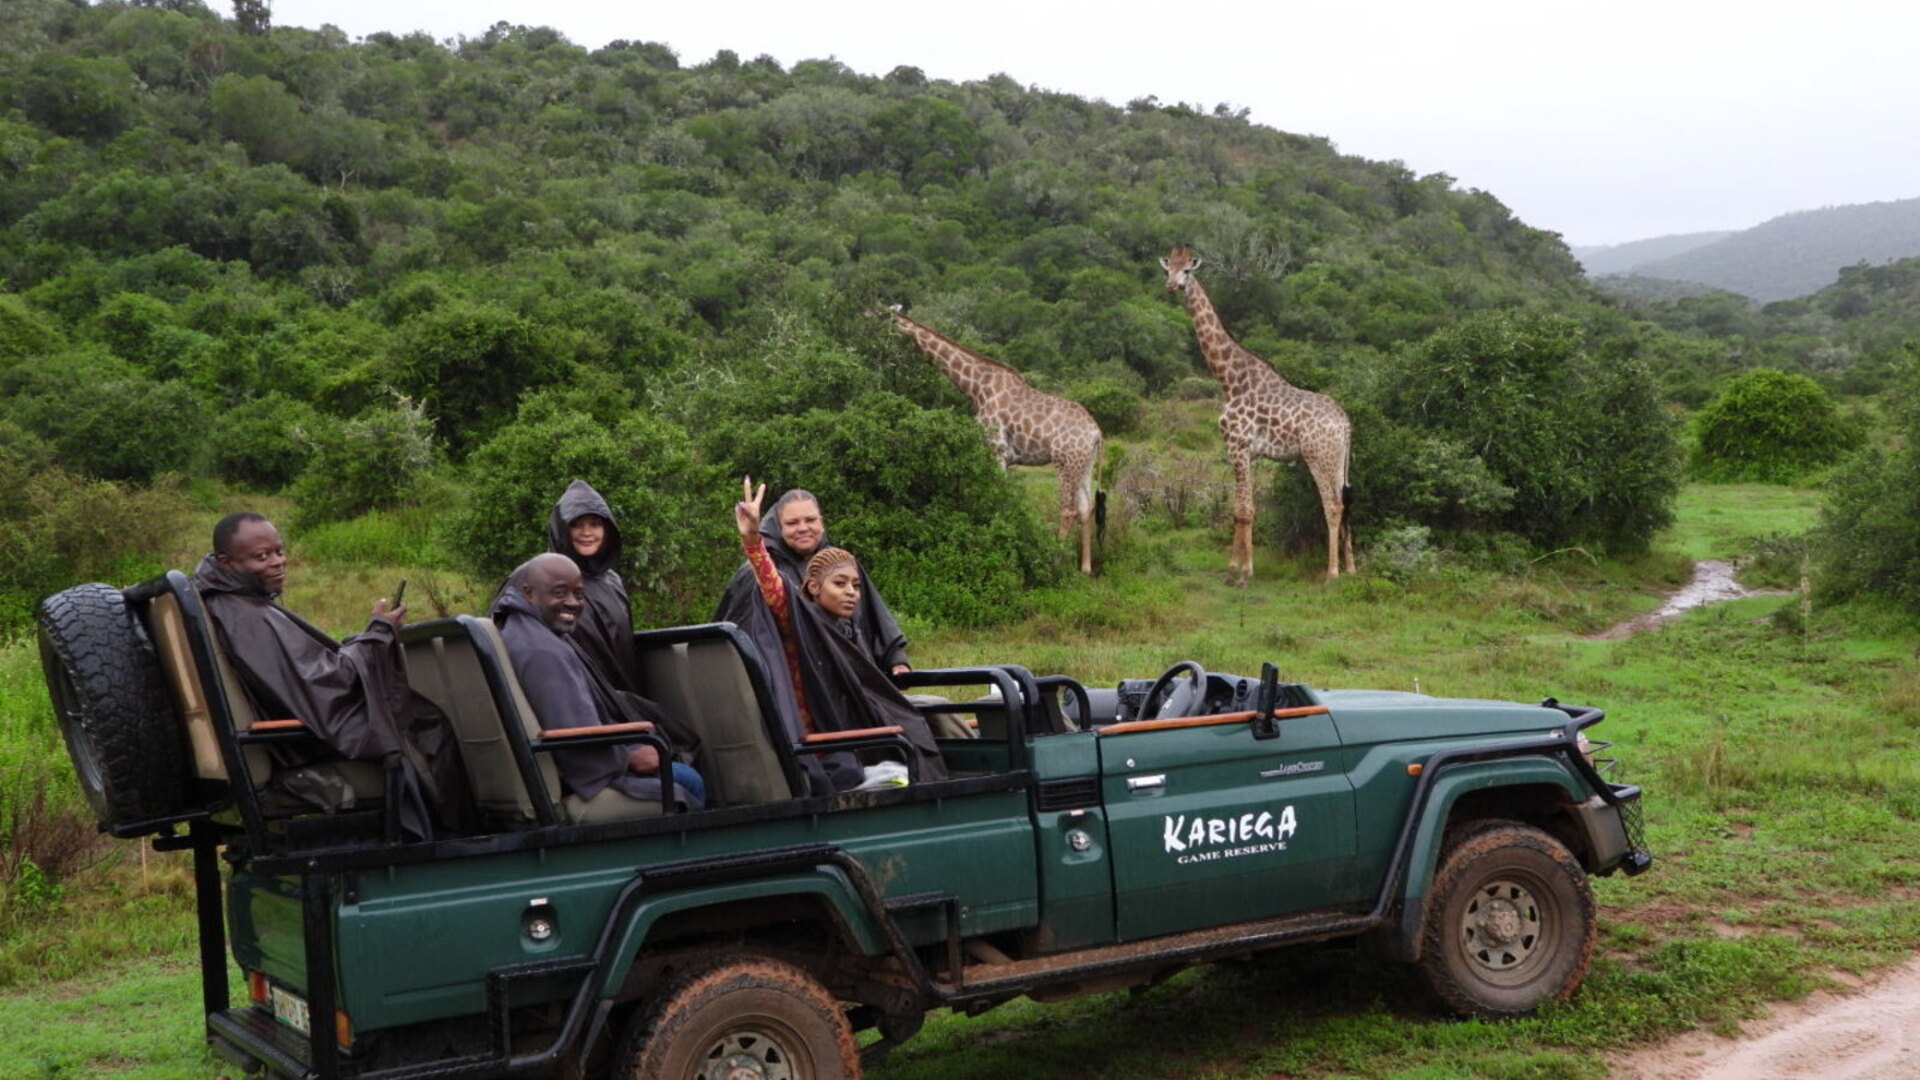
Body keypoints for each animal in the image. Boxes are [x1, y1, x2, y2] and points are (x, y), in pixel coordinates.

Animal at [881, 306, 1104, 574]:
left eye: (878, 313)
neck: (975, 387)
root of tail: (1096, 433)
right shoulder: (1004, 457)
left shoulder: (996, 450)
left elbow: (998, 499)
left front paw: (1001, 544)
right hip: (1085, 465)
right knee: (1086, 508)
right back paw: (1085, 569)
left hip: (1065, 462)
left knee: (1068, 509)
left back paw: (1054, 561)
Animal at [1161, 246, 1354, 584]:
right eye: (1168, 267)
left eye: (1187, 270)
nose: (1172, 286)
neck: (1230, 380)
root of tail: (1345, 424)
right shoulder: (1247, 452)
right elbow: (1240, 508)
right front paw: (1234, 569)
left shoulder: (1237, 445)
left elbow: (1245, 510)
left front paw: (1243, 573)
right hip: (1341, 459)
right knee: (1346, 502)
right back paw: (1353, 568)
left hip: (1320, 456)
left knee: (1332, 504)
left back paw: (1332, 573)